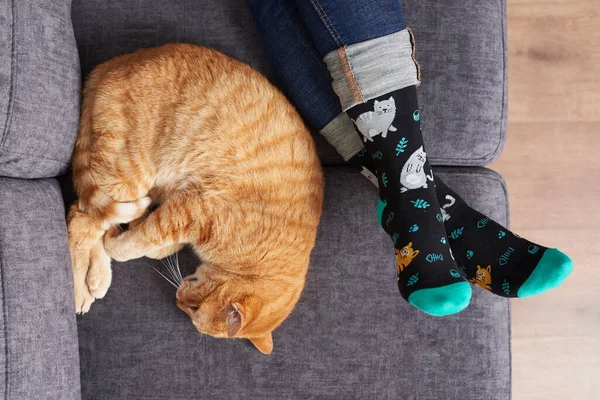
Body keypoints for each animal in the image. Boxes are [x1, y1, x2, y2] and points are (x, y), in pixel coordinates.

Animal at [67, 44, 324, 356]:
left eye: (192, 310)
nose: (177, 300)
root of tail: (115, 62)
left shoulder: (177, 204)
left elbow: (151, 243)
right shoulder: (191, 209)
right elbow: (137, 241)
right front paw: (121, 245)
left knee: (97, 216)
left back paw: (98, 276)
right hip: (130, 174)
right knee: (81, 218)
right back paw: (81, 288)